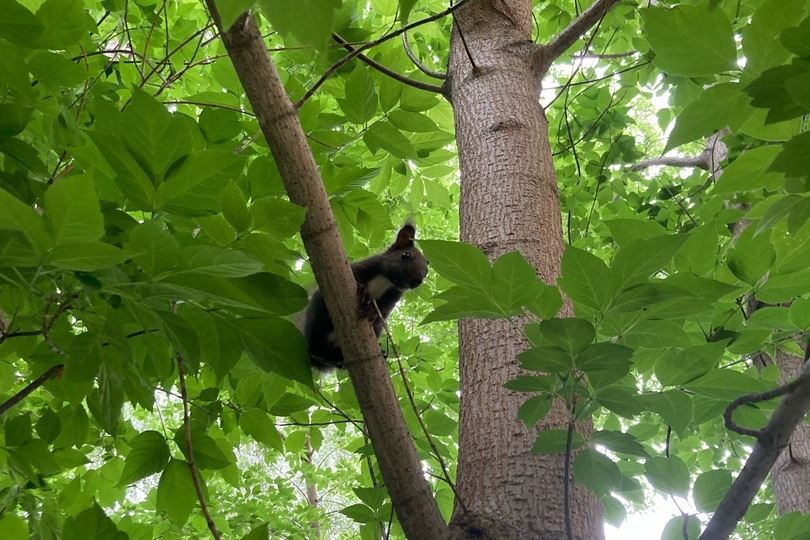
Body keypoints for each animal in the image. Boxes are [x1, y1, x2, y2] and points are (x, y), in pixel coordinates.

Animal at [304, 225, 430, 372]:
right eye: (406, 255)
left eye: (426, 273)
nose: (417, 281)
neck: (386, 281)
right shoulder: (363, 267)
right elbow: (353, 277)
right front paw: (362, 289)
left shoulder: (392, 297)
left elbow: (383, 310)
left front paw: (371, 312)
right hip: (317, 312)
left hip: (376, 329)